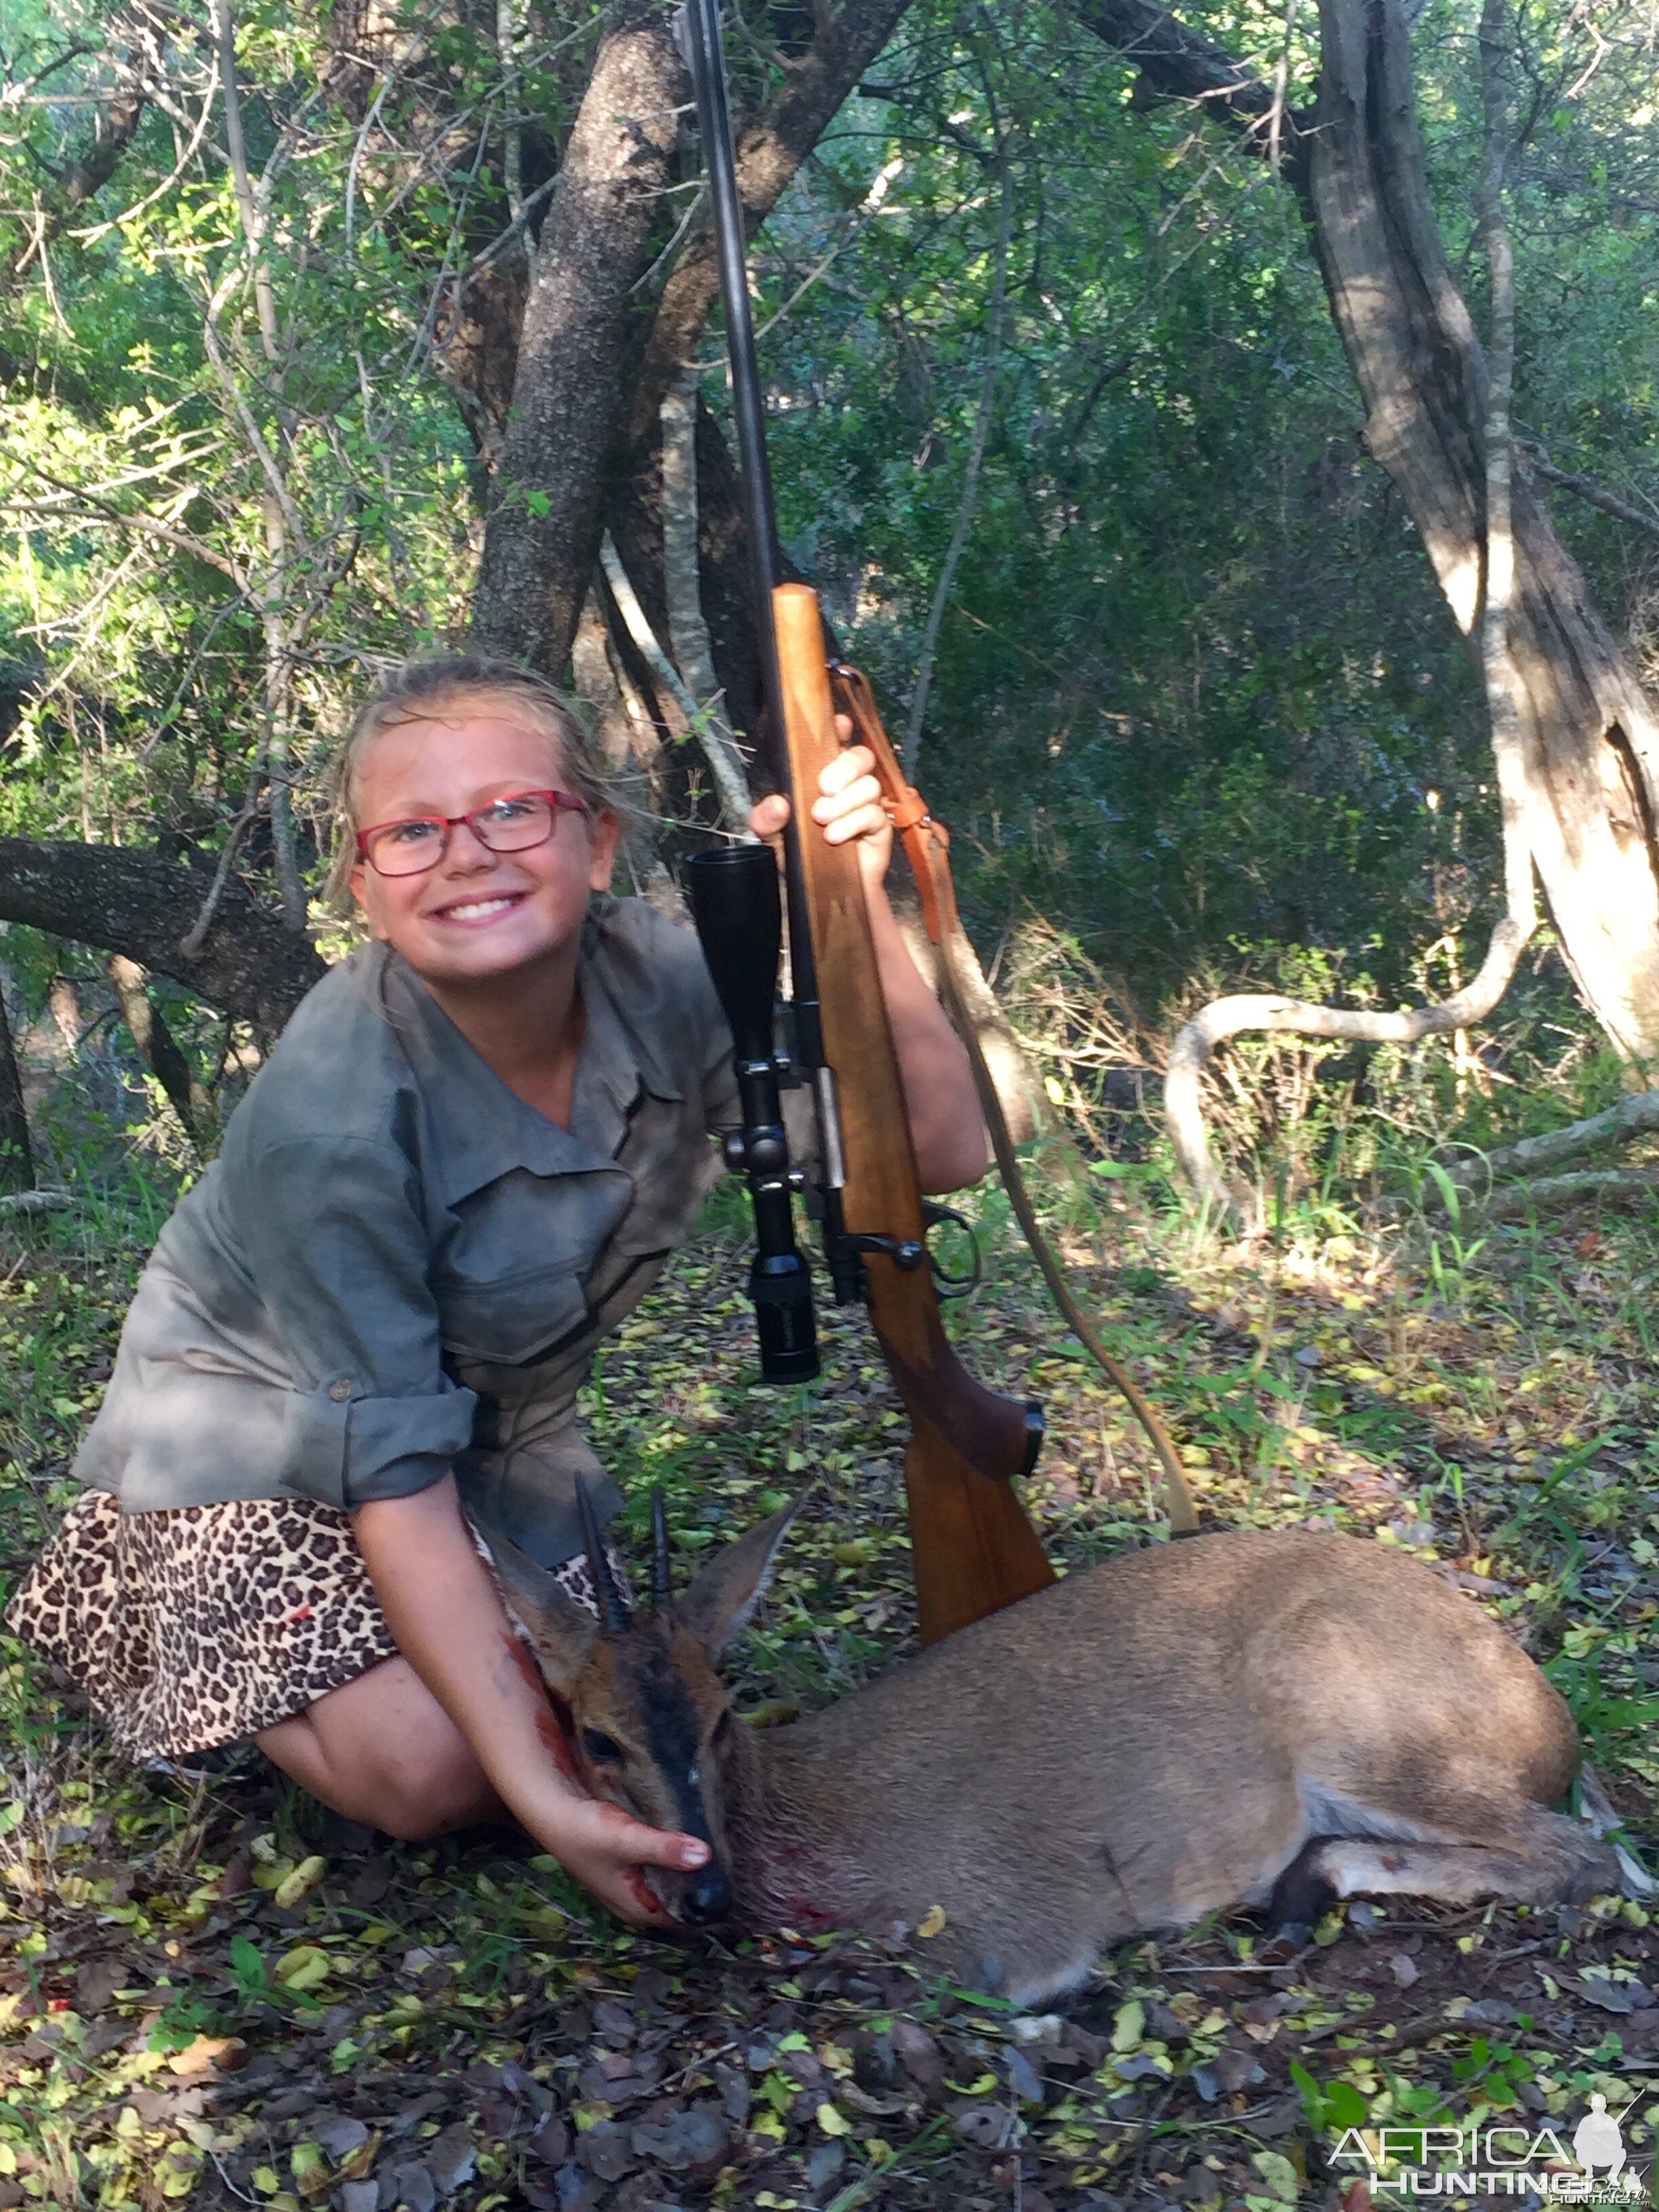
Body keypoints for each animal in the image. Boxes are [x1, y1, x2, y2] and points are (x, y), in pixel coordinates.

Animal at [497, 1504, 1628, 2008]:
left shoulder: (1003, 1933)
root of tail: (1551, 1724)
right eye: (595, 1737)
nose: (704, 1891)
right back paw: (1299, 1890)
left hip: (1350, 1710)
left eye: (720, 1716)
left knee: (1585, 1855)